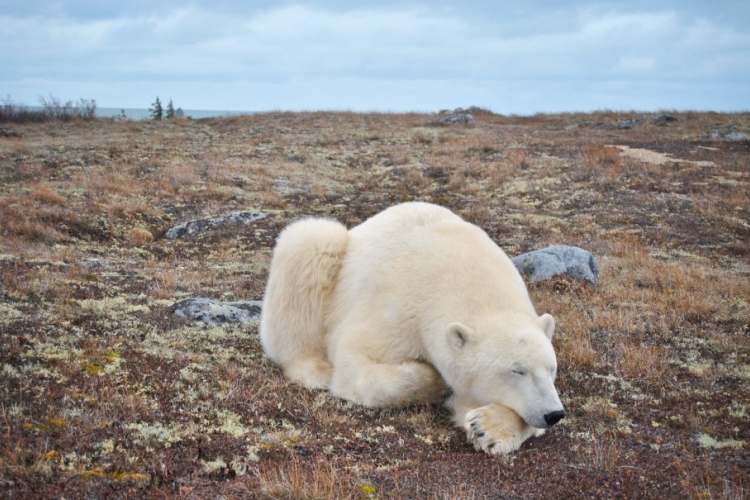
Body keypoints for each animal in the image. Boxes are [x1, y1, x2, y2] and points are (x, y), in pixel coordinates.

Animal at [262, 202, 568, 454]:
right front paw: (434, 380)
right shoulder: (397, 309)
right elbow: (356, 362)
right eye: (517, 370)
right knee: (311, 243)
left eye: (551, 369)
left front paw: (487, 428)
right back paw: (314, 369)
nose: (554, 414)